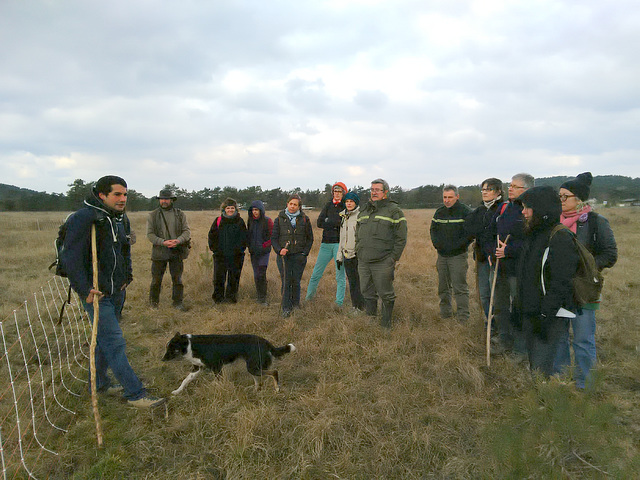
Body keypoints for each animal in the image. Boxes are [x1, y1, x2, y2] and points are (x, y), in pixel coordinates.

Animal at [164, 332, 296, 396]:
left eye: (171, 349)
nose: (162, 359)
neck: (190, 345)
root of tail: (266, 342)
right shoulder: (198, 368)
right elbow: (185, 380)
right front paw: (177, 391)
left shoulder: (217, 367)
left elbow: (219, 382)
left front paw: (221, 390)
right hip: (253, 367)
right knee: (258, 382)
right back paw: (255, 391)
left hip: (253, 367)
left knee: (274, 372)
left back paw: (277, 388)